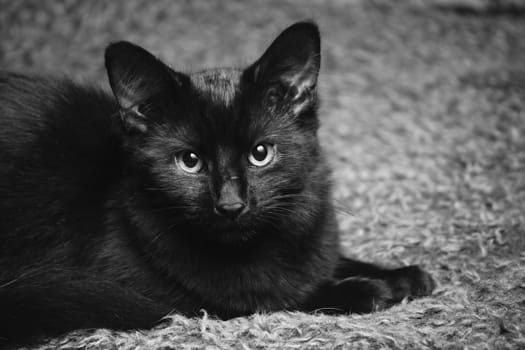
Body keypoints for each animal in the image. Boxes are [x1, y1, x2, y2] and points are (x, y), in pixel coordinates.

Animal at [0, 22, 434, 344]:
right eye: (189, 161)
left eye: (261, 153)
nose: (230, 204)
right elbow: (281, 298)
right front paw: (370, 290)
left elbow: (328, 262)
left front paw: (404, 275)